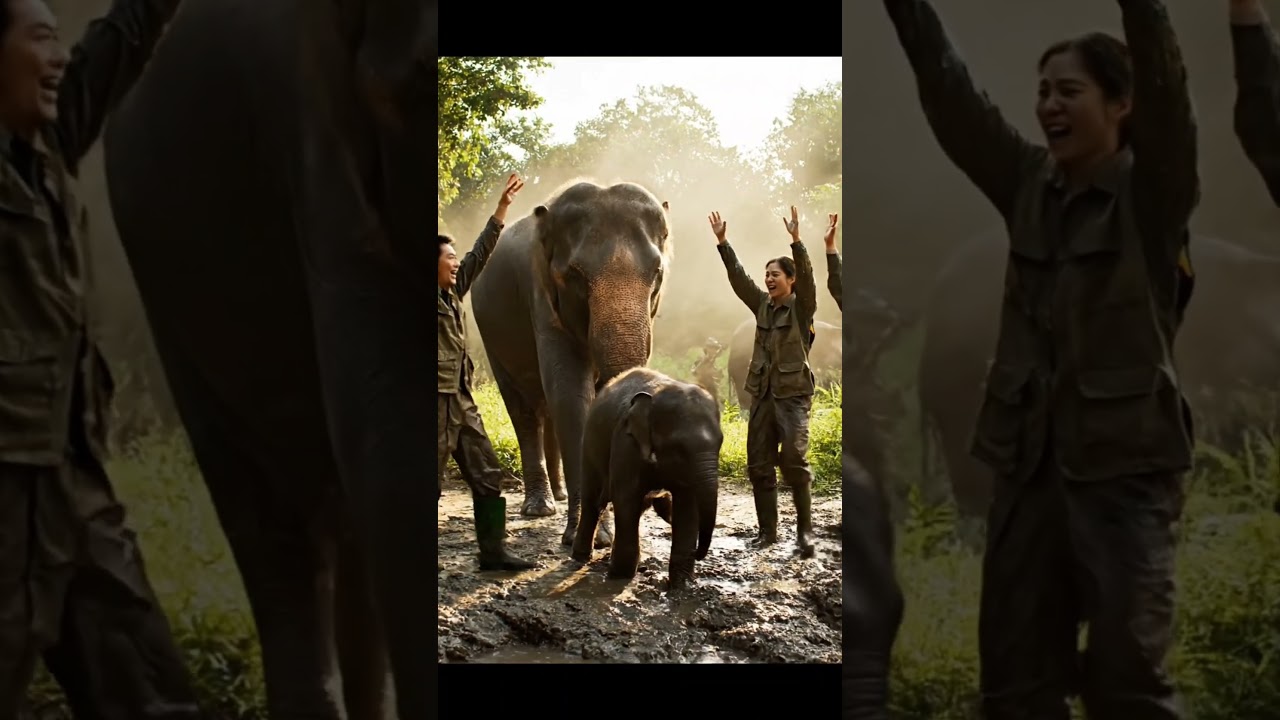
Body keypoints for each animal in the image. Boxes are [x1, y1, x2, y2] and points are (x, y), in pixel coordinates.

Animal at [471, 181, 672, 547]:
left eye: (657, 273)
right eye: (574, 275)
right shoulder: (540, 296)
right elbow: (570, 396)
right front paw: (593, 537)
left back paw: (560, 495)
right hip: (491, 337)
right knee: (525, 411)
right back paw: (540, 508)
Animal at [571, 368, 721, 590]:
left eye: (721, 442)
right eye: (679, 448)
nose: (699, 554)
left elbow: (687, 506)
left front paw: (682, 585)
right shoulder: (626, 443)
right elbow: (626, 498)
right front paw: (620, 576)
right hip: (589, 444)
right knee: (592, 502)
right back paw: (580, 557)